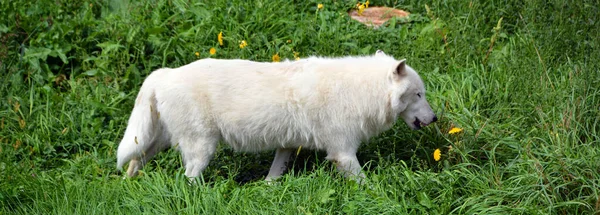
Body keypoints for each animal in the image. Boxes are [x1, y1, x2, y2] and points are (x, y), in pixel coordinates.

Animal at [116, 50, 436, 181]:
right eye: (419, 95)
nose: (434, 119)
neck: (360, 91)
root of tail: (163, 73)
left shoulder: (288, 144)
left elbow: (275, 172)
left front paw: (268, 189)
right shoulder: (342, 153)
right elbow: (365, 183)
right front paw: (376, 193)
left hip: (157, 143)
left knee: (134, 163)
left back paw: (130, 187)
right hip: (201, 149)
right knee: (188, 178)